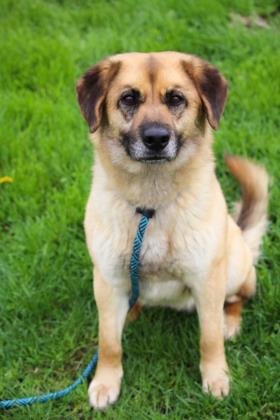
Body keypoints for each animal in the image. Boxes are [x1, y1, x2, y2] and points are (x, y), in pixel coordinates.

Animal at [75, 52, 268, 410]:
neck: (151, 205)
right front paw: (106, 382)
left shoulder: (206, 281)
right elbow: (109, 342)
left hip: (234, 270)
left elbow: (209, 340)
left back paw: (231, 322)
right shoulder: (107, 281)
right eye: (129, 98)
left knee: (238, 298)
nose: (155, 138)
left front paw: (216, 378)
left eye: (176, 99)